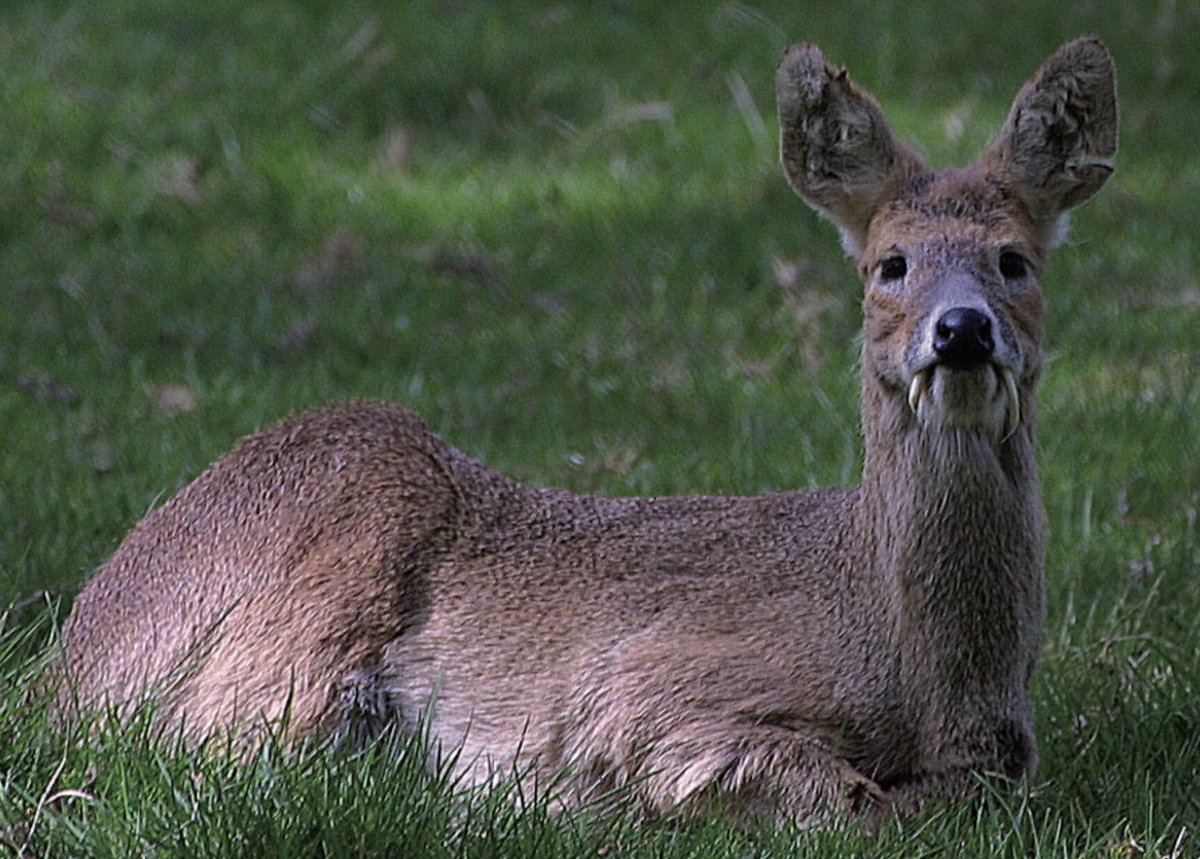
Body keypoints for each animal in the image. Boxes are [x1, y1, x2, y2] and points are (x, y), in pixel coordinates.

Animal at [51, 40, 1118, 825]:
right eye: (889, 263)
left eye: (1016, 260)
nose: (962, 330)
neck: (917, 660)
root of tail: (70, 656)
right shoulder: (648, 687)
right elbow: (844, 800)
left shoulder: (998, 754)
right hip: (334, 562)